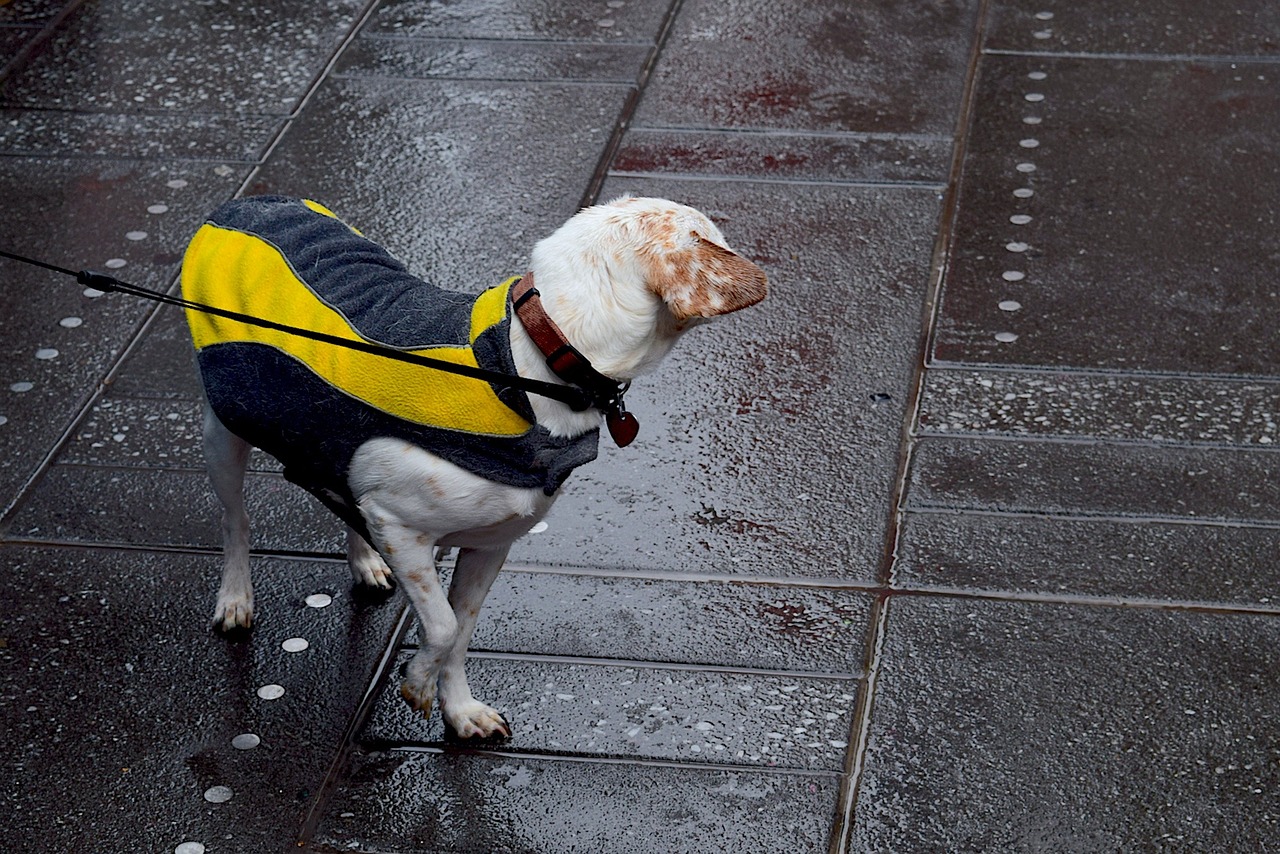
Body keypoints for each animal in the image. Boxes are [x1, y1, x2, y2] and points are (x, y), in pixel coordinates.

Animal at [181, 192, 768, 737]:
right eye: (718, 238)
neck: (531, 363)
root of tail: (251, 202)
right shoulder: (400, 528)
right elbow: (440, 626)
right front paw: (417, 685)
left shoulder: (490, 543)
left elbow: (461, 632)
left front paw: (460, 711)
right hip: (222, 430)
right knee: (236, 521)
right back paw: (235, 598)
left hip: (328, 432)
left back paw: (365, 561)